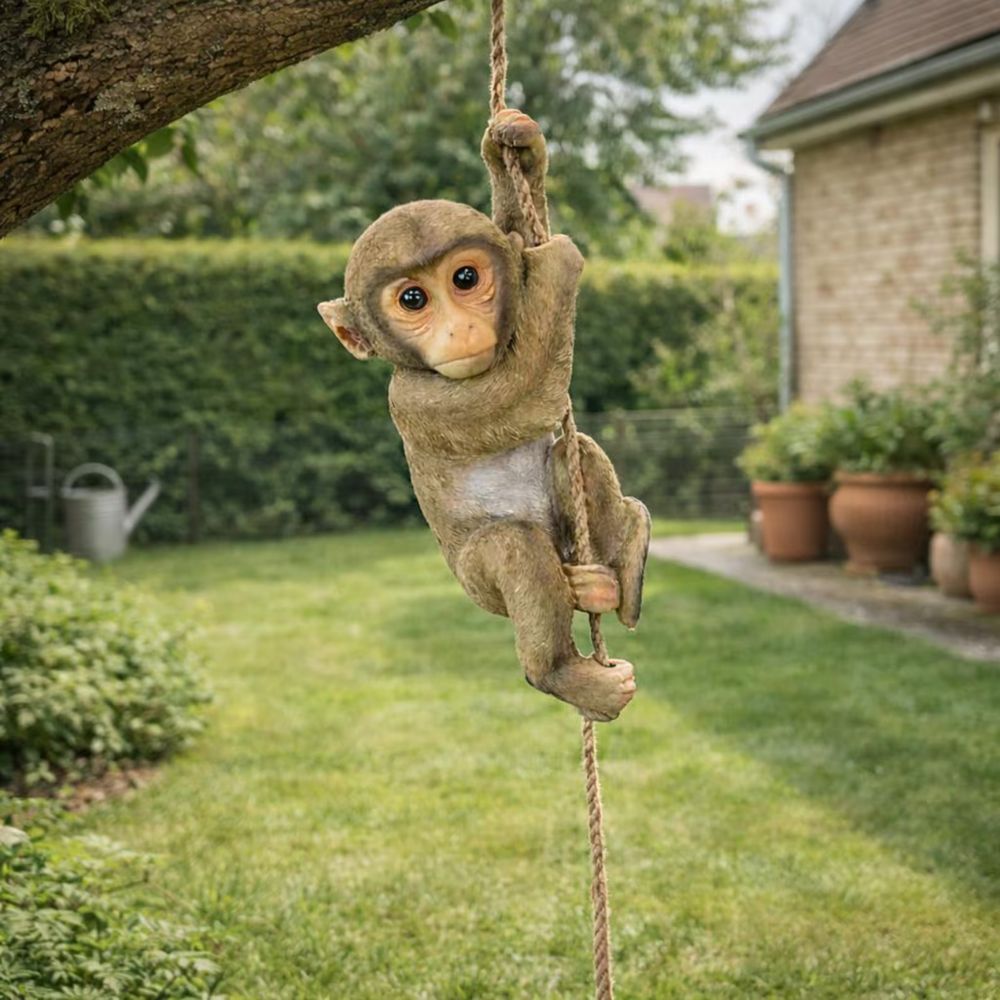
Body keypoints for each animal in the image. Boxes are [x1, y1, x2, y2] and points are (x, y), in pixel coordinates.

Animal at [317, 109, 650, 722]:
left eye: (465, 279)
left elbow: (514, 240)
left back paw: (618, 568)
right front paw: (559, 262)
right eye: (413, 299)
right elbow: (526, 392)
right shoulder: (414, 399)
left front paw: (517, 147)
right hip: (476, 583)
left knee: (573, 451)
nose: (460, 329)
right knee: (511, 547)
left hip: (569, 546)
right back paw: (564, 673)